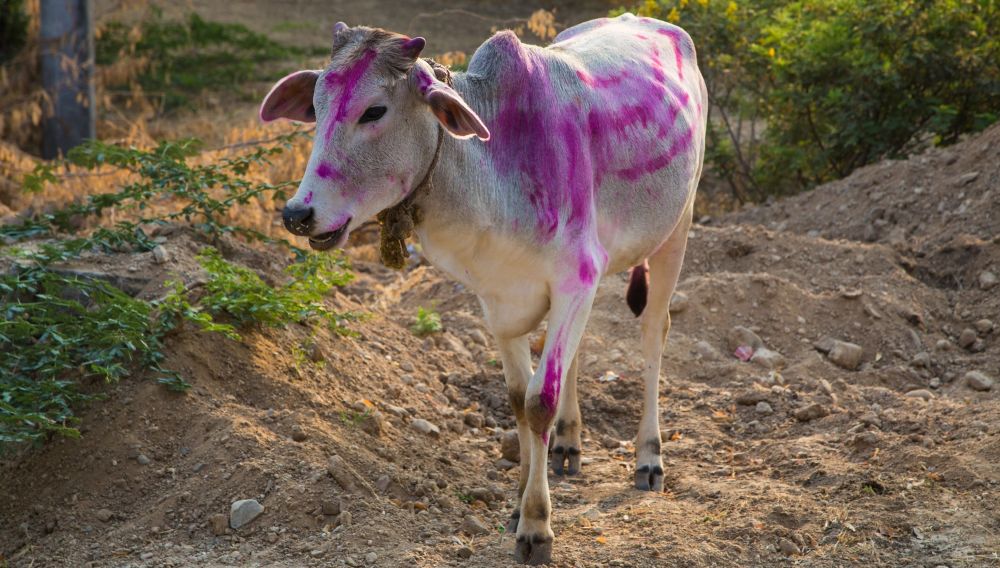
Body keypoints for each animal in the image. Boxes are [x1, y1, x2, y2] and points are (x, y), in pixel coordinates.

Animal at [260, 13, 706, 564]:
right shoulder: (499, 299)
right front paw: (519, 504)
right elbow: (519, 398)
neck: (495, 172)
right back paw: (568, 443)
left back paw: (648, 457)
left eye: (374, 111)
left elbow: (539, 401)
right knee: (577, 354)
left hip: (676, 230)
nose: (298, 213)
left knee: (652, 335)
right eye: (317, 107)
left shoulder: (574, 276)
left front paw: (536, 525)